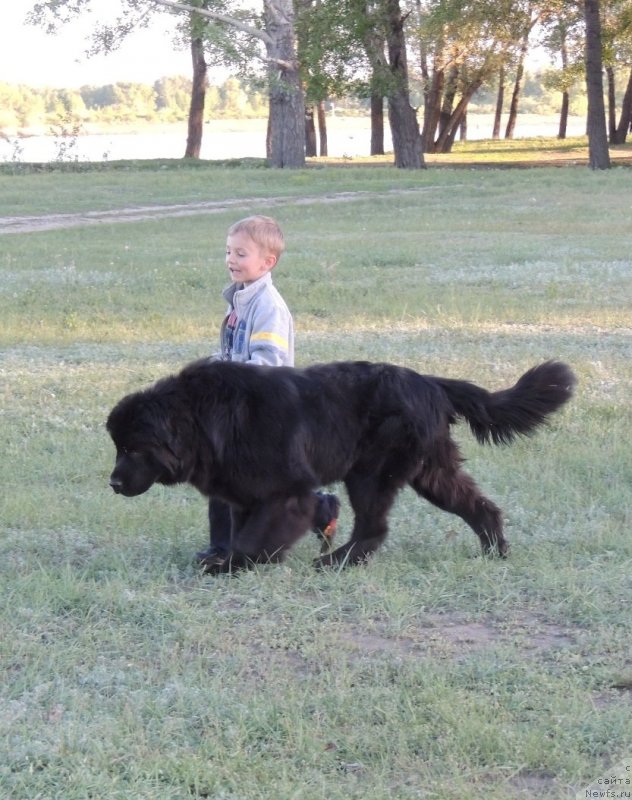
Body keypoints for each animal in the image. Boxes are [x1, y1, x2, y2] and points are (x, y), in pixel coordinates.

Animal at [106, 360, 576, 572]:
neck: (203, 421)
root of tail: (429, 381)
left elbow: (253, 540)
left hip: (372, 473)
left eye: (132, 449)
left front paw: (232, 565)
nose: (112, 483)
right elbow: (243, 531)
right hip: (432, 472)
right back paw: (494, 551)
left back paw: (338, 561)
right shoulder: (246, 495)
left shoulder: (286, 493)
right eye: (117, 446)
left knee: (374, 527)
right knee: (479, 506)